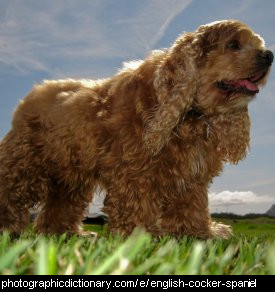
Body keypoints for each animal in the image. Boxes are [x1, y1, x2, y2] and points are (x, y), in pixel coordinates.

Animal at [0, 21, 272, 240]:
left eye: (257, 43)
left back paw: (66, 233)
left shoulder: (191, 178)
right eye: (234, 44)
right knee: (11, 193)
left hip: (71, 176)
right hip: (26, 164)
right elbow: (136, 207)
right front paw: (141, 237)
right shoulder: (134, 171)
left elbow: (193, 207)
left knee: (61, 206)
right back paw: (9, 228)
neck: (189, 114)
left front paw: (201, 234)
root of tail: (30, 96)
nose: (269, 55)